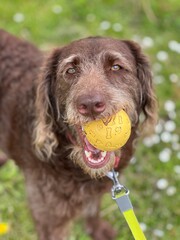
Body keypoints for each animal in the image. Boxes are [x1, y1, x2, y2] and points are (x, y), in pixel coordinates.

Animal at [0, 30, 156, 240]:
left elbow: (93, 207)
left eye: (116, 67)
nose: (90, 105)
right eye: (71, 70)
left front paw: (96, 229)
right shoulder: (49, 220)